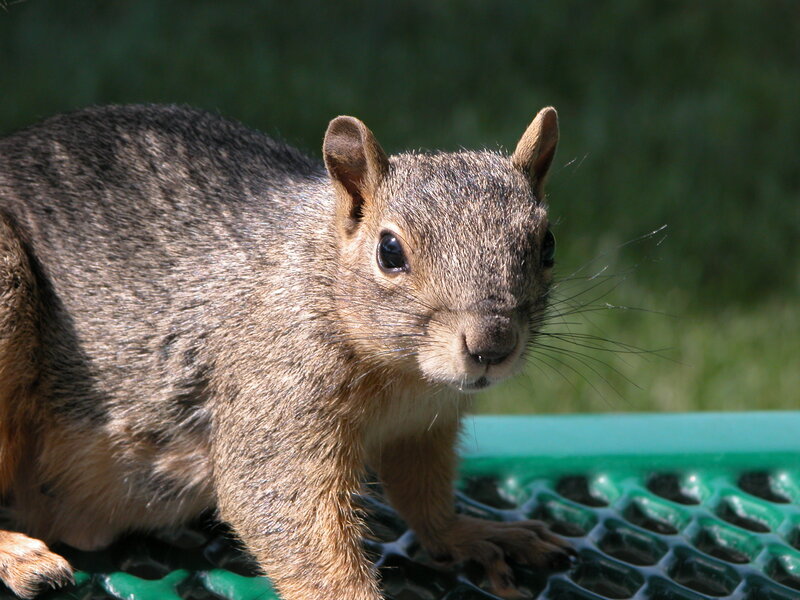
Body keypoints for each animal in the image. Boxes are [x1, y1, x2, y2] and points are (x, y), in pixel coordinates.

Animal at [0, 104, 573, 599]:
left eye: (547, 244)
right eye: (390, 251)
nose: (491, 344)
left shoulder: (421, 426)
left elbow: (423, 495)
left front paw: (468, 533)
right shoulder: (274, 387)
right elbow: (279, 505)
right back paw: (17, 555)